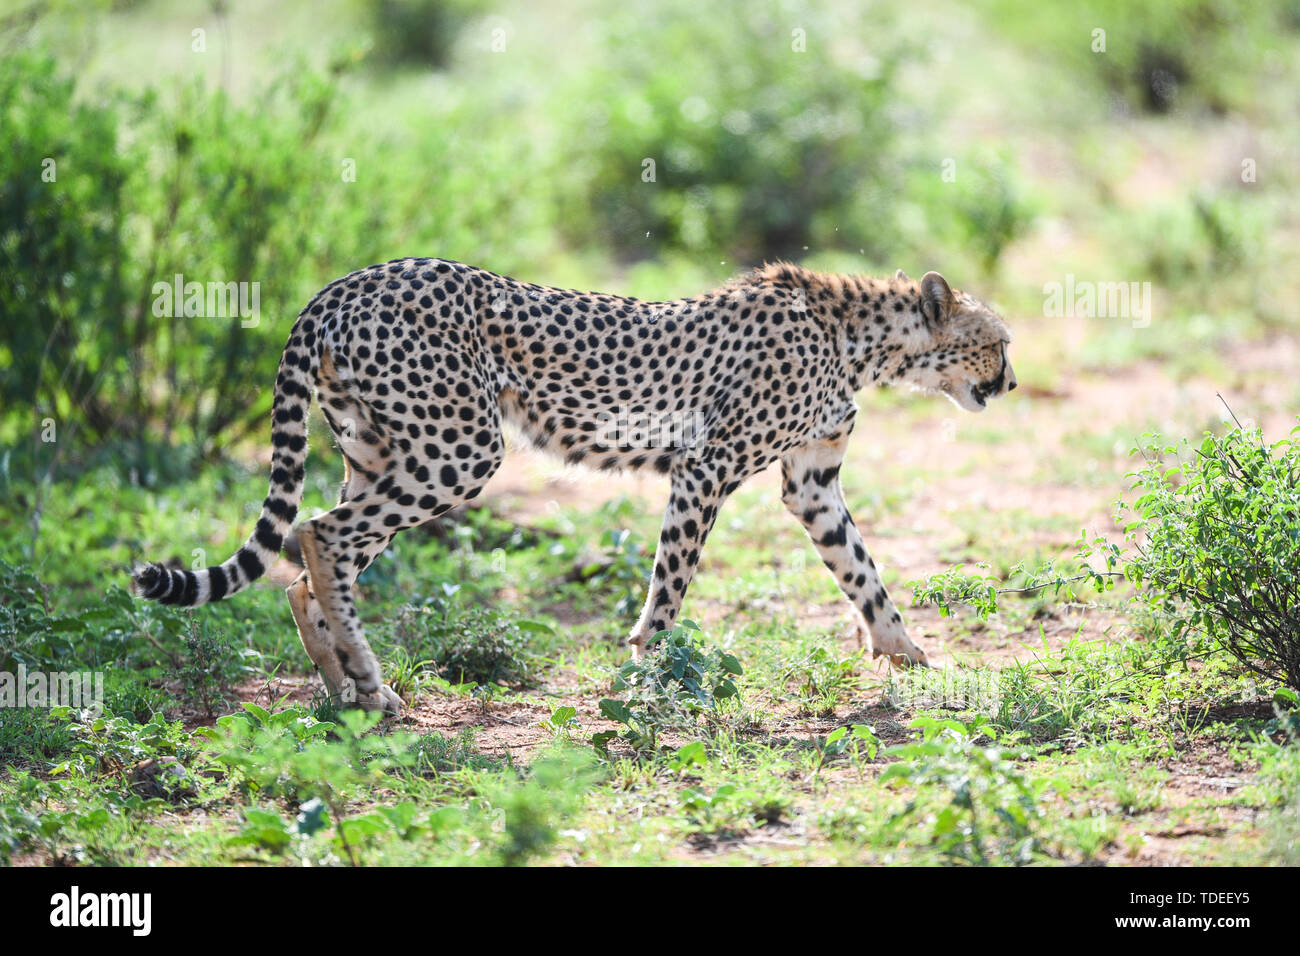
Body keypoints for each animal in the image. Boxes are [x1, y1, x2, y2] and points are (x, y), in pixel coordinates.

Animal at [134, 257, 1013, 712]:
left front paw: (910, 653)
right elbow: (670, 586)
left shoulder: (811, 482)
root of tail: (347, 281)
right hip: (459, 449)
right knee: (319, 533)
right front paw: (649, 672)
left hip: (382, 452)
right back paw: (370, 682)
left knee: (313, 555)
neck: (861, 339)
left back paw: (341, 681)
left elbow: (861, 570)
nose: (1009, 383)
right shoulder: (705, 466)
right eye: (996, 341)